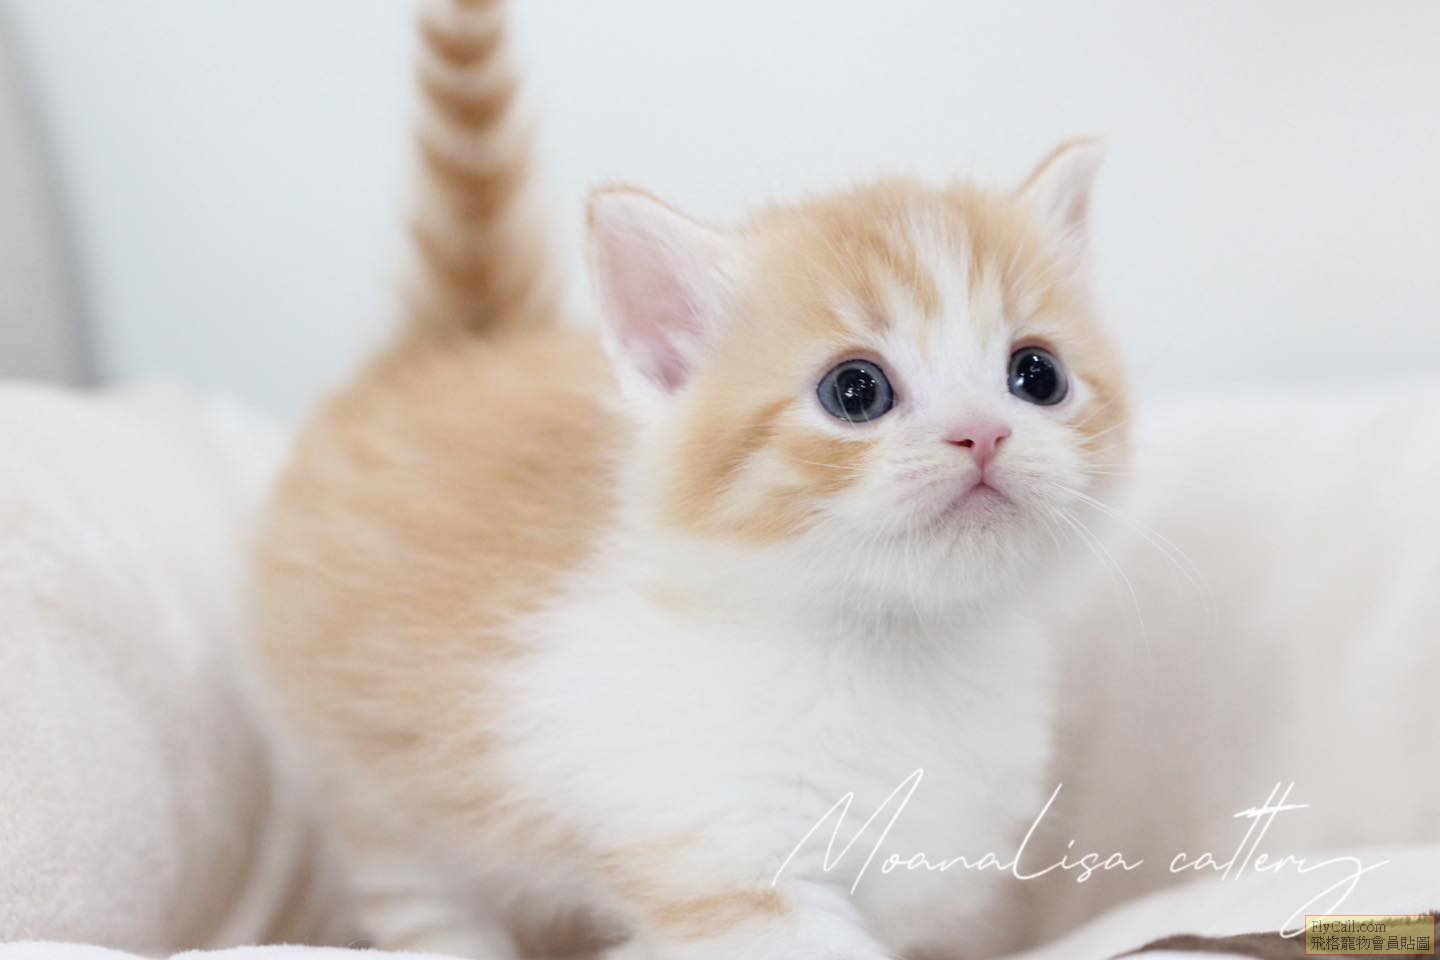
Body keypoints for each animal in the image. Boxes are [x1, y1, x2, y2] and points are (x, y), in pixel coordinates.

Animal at [251, 0, 1128, 957]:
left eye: (1036, 375)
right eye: (855, 391)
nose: (983, 432)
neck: (902, 654)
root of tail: (457, 344)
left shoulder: (949, 885)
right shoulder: (718, 846)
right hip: (372, 772)